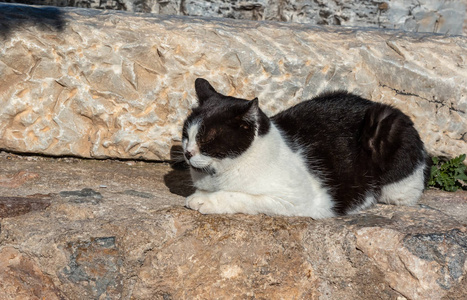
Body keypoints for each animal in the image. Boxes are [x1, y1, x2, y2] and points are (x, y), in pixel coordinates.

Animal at [182, 77, 432, 218]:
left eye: (207, 139)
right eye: (186, 134)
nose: (187, 152)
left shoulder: (296, 200)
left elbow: (240, 196)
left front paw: (206, 201)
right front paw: (201, 194)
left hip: (388, 125)